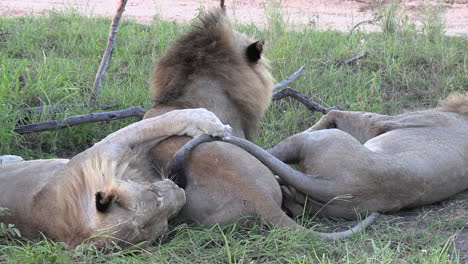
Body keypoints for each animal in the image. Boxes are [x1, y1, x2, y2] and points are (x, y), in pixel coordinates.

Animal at [0, 108, 231, 248]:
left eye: (152, 191)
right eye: (165, 220)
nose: (180, 189)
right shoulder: (111, 145)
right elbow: (162, 122)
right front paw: (210, 122)